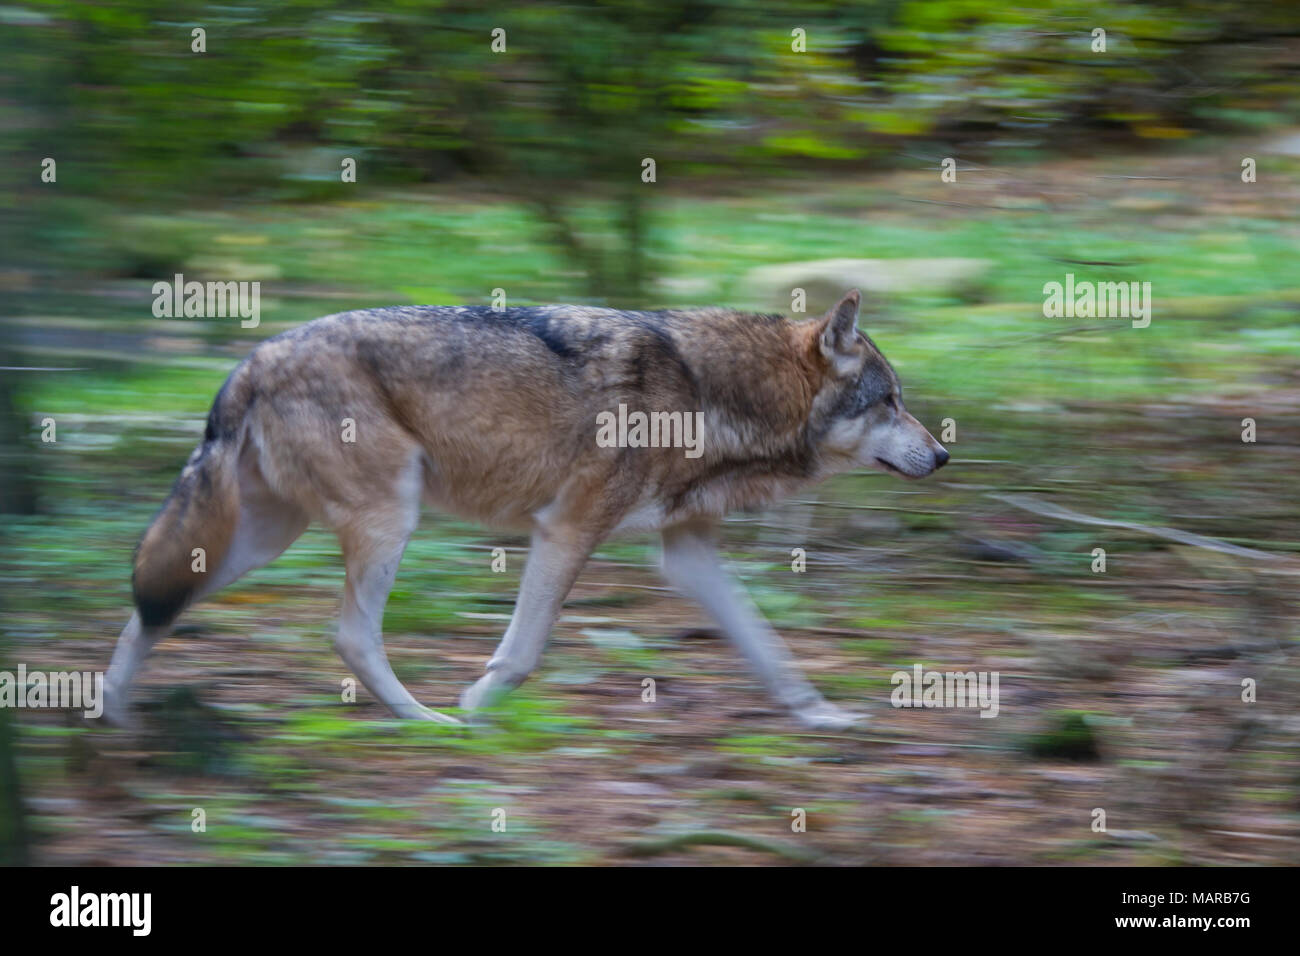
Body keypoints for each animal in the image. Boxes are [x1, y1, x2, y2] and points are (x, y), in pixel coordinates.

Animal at [104, 287, 946, 728]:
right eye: (891, 402)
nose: (943, 457)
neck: (712, 395)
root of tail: (250, 359)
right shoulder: (567, 529)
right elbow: (523, 651)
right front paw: (478, 707)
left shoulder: (687, 553)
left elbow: (770, 649)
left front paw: (822, 715)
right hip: (387, 519)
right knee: (348, 635)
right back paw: (429, 724)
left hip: (259, 540)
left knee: (152, 607)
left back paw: (114, 713)